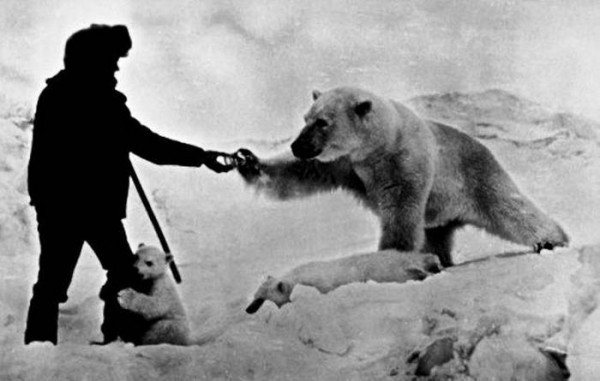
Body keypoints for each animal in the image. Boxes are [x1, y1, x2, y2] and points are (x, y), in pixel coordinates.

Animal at [234, 86, 568, 266]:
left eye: (323, 122)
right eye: (306, 118)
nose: (297, 145)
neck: (377, 147)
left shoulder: (404, 162)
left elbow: (401, 210)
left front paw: (389, 257)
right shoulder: (344, 164)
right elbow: (300, 174)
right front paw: (248, 161)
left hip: (476, 177)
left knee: (510, 209)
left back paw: (553, 240)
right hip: (440, 212)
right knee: (436, 235)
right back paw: (442, 260)